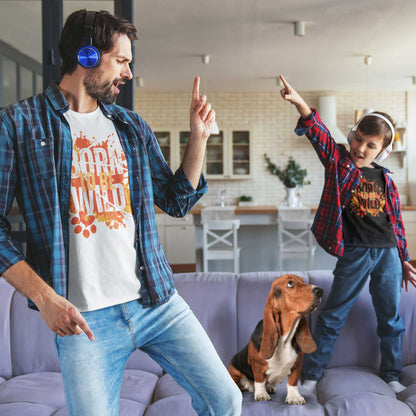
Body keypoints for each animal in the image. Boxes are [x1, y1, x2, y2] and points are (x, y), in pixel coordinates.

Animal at [228, 274, 322, 404]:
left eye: (303, 281)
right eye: (290, 283)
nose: (320, 291)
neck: (285, 339)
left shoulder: (297, 365)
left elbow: (292, 382)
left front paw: (294, 396)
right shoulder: (257, 366)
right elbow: (260, 381)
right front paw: (262, 394)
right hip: (233, 371)